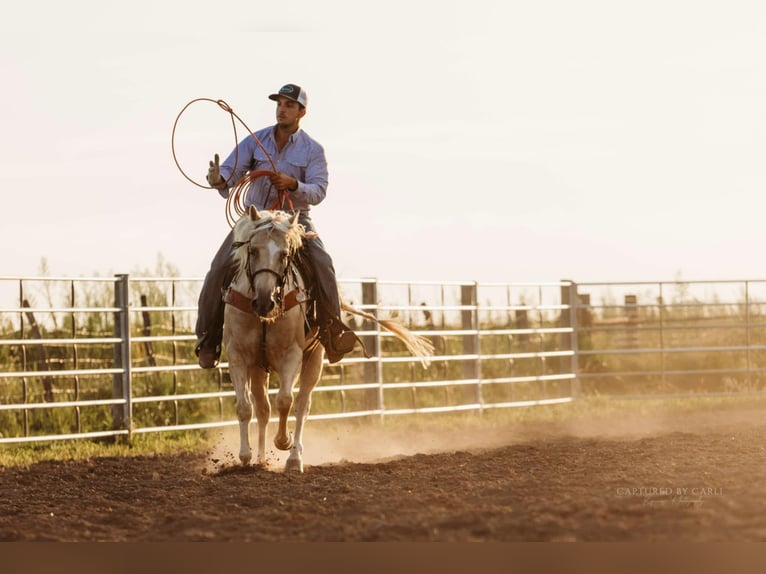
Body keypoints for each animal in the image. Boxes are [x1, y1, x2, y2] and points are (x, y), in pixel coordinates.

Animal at [225, 206, 436, 472]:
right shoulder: (238, 355)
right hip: (259, 367)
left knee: (302, 404)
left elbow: (285, 401)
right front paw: (245, 456)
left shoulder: (291, 354)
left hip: (314, 358)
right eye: (253, 250)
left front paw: (284, 441)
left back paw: (294, 457)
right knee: (263, 408)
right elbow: (244, 407)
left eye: (284, 254)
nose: (265, 301)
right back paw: (262, 459)